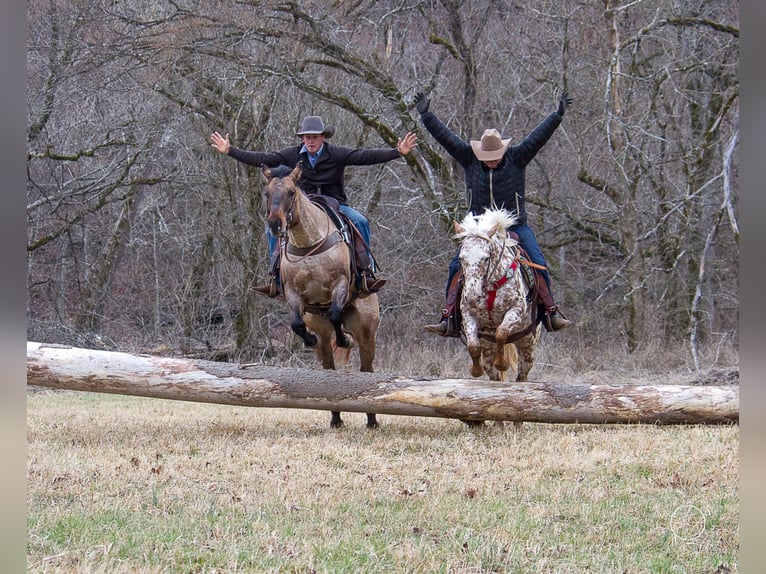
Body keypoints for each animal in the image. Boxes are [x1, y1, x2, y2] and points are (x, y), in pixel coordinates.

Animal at [264, 164, 384, 430]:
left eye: (291, 193)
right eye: (267, 193)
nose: (275, 225)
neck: (307, 243)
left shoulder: (339, 285)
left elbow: (336, 312)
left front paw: (344, 340)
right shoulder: (293, 294)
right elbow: (297, 324)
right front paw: (309, 339)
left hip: (366, 332)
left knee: (367, 369)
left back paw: (372, 420)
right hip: (322, 332)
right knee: (328, 367)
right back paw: (336, 418)